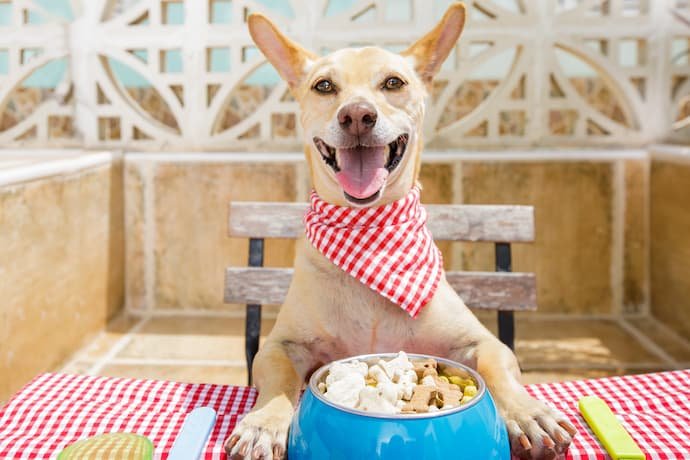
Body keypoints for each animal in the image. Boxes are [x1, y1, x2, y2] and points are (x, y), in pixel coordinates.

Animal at [226, 2, 576, 456]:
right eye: (324, 86)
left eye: (393, 82)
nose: (358, 115)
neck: (369, 236)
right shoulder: (278, 347)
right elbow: (282, 380)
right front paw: (264, 422)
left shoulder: (483, 343)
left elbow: (496, 368)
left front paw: (527, 412)